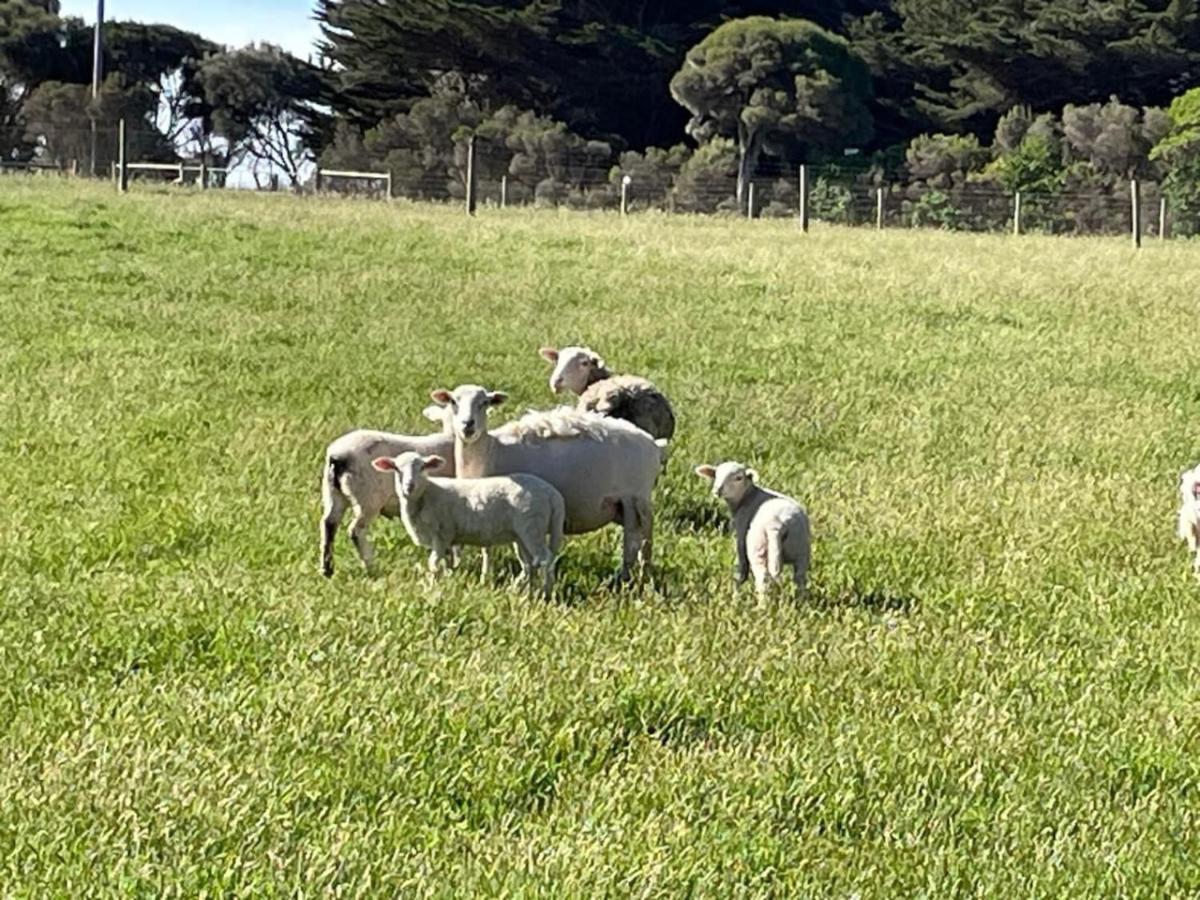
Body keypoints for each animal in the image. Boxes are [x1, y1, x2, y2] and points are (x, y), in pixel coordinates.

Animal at [316, 403, 451, 573]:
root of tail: (339, 456)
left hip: (333, 493)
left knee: (329, 524)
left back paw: (327, 568)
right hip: (368, 499)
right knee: (355, 531)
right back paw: (370, 566)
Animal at [372, 451, 564, 600]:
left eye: (422, 467)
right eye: (397, 469)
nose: (409, 486)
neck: (425, 495)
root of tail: (553, 494)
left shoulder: (442, 534)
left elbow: (433, 564)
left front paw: (432, 588)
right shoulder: (444, 540)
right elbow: (445, 564)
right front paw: (446, 582)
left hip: (531, 527)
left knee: (545, 559)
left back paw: (544, 594)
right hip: (521, 535)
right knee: (530, 564)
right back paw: (522, 592)